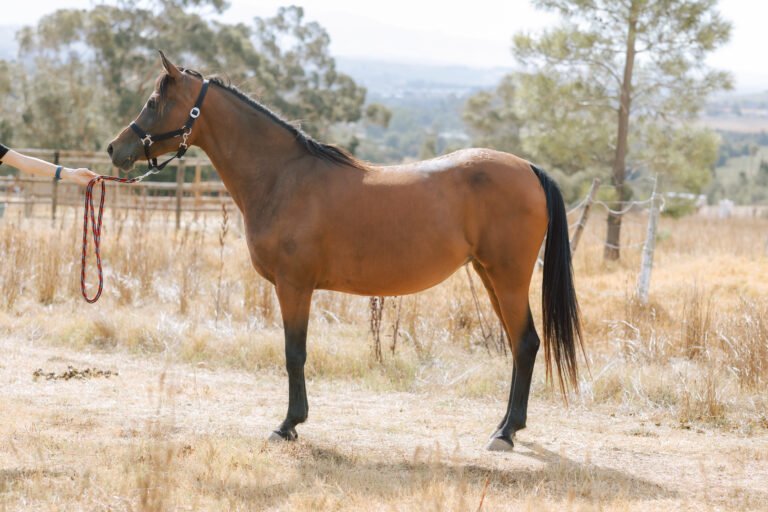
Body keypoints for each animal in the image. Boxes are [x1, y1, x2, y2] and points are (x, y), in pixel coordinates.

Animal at [105, 53, 580, 452]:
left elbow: (294, 354)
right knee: (519, 344)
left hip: (508, 277)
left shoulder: (294, 287)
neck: (283, 177)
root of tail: (528, 169)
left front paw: (288, 425)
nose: (115, 148)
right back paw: (505, 426)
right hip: (489, 275)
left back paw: (505, 433)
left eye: (153, 102)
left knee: (525, 343)